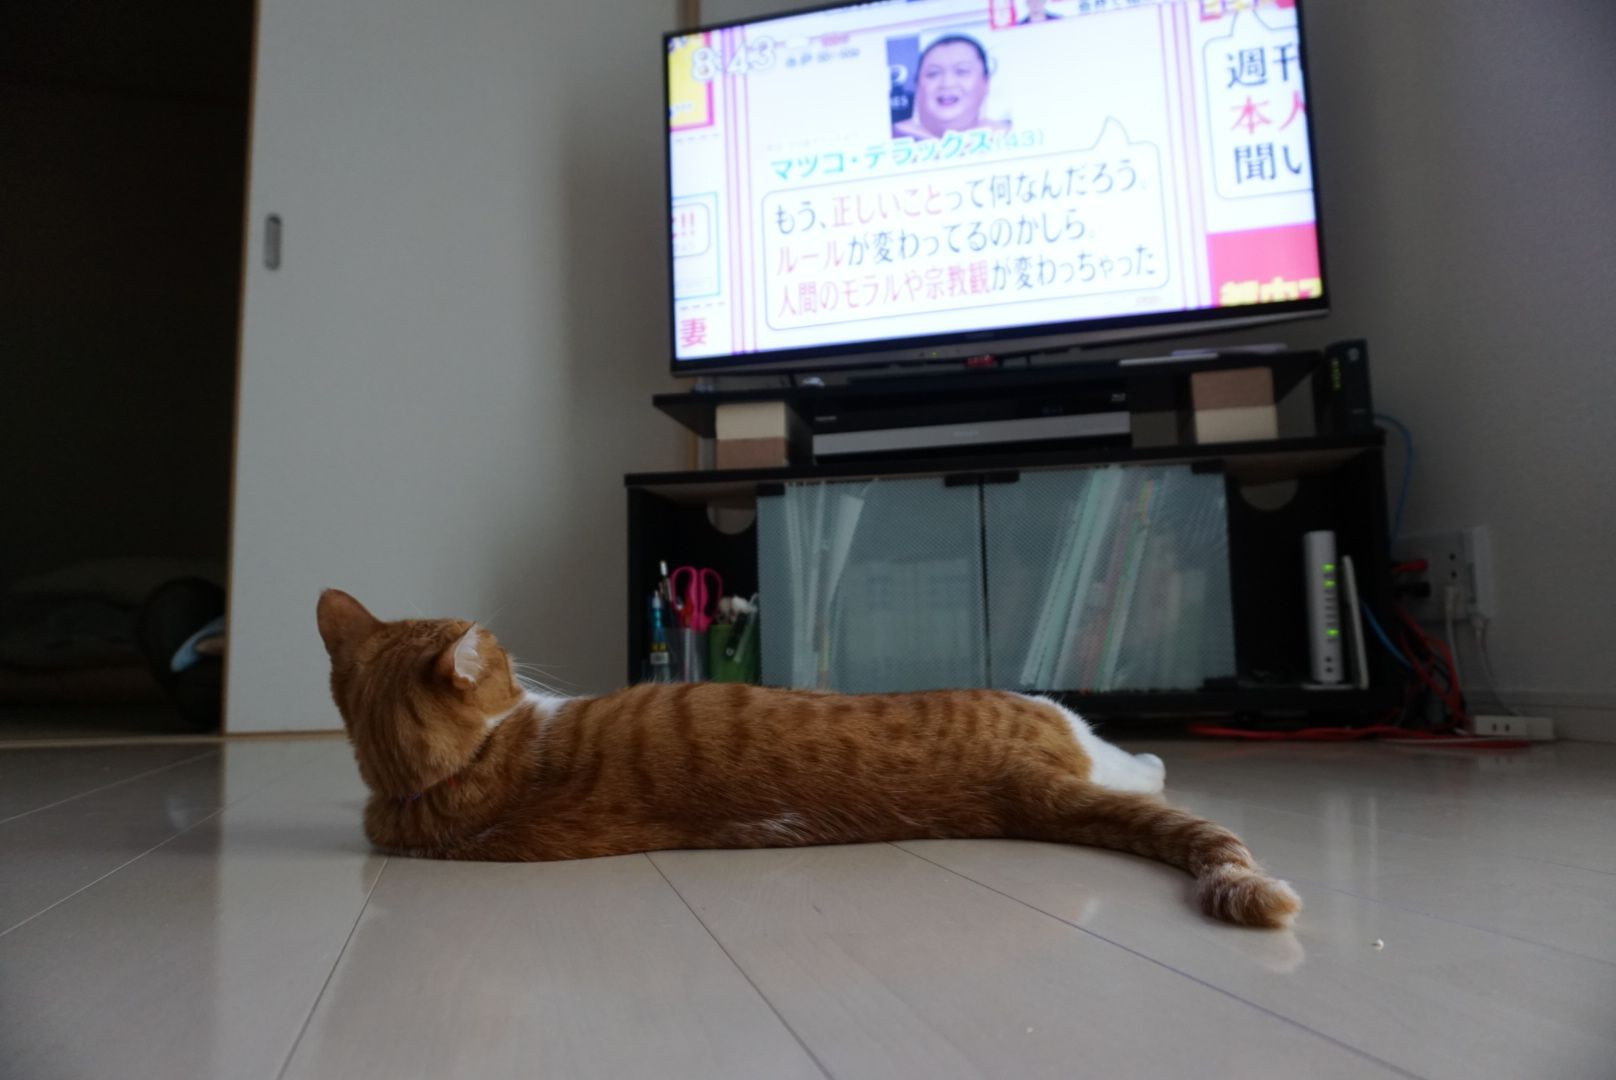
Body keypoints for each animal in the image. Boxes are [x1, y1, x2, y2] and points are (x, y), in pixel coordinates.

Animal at [316, 589, 1301, 929]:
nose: (515, 648)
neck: (445, 782)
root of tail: (1017, 787)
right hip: (1044, 709)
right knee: (1126, 766)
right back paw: (1150, 756)